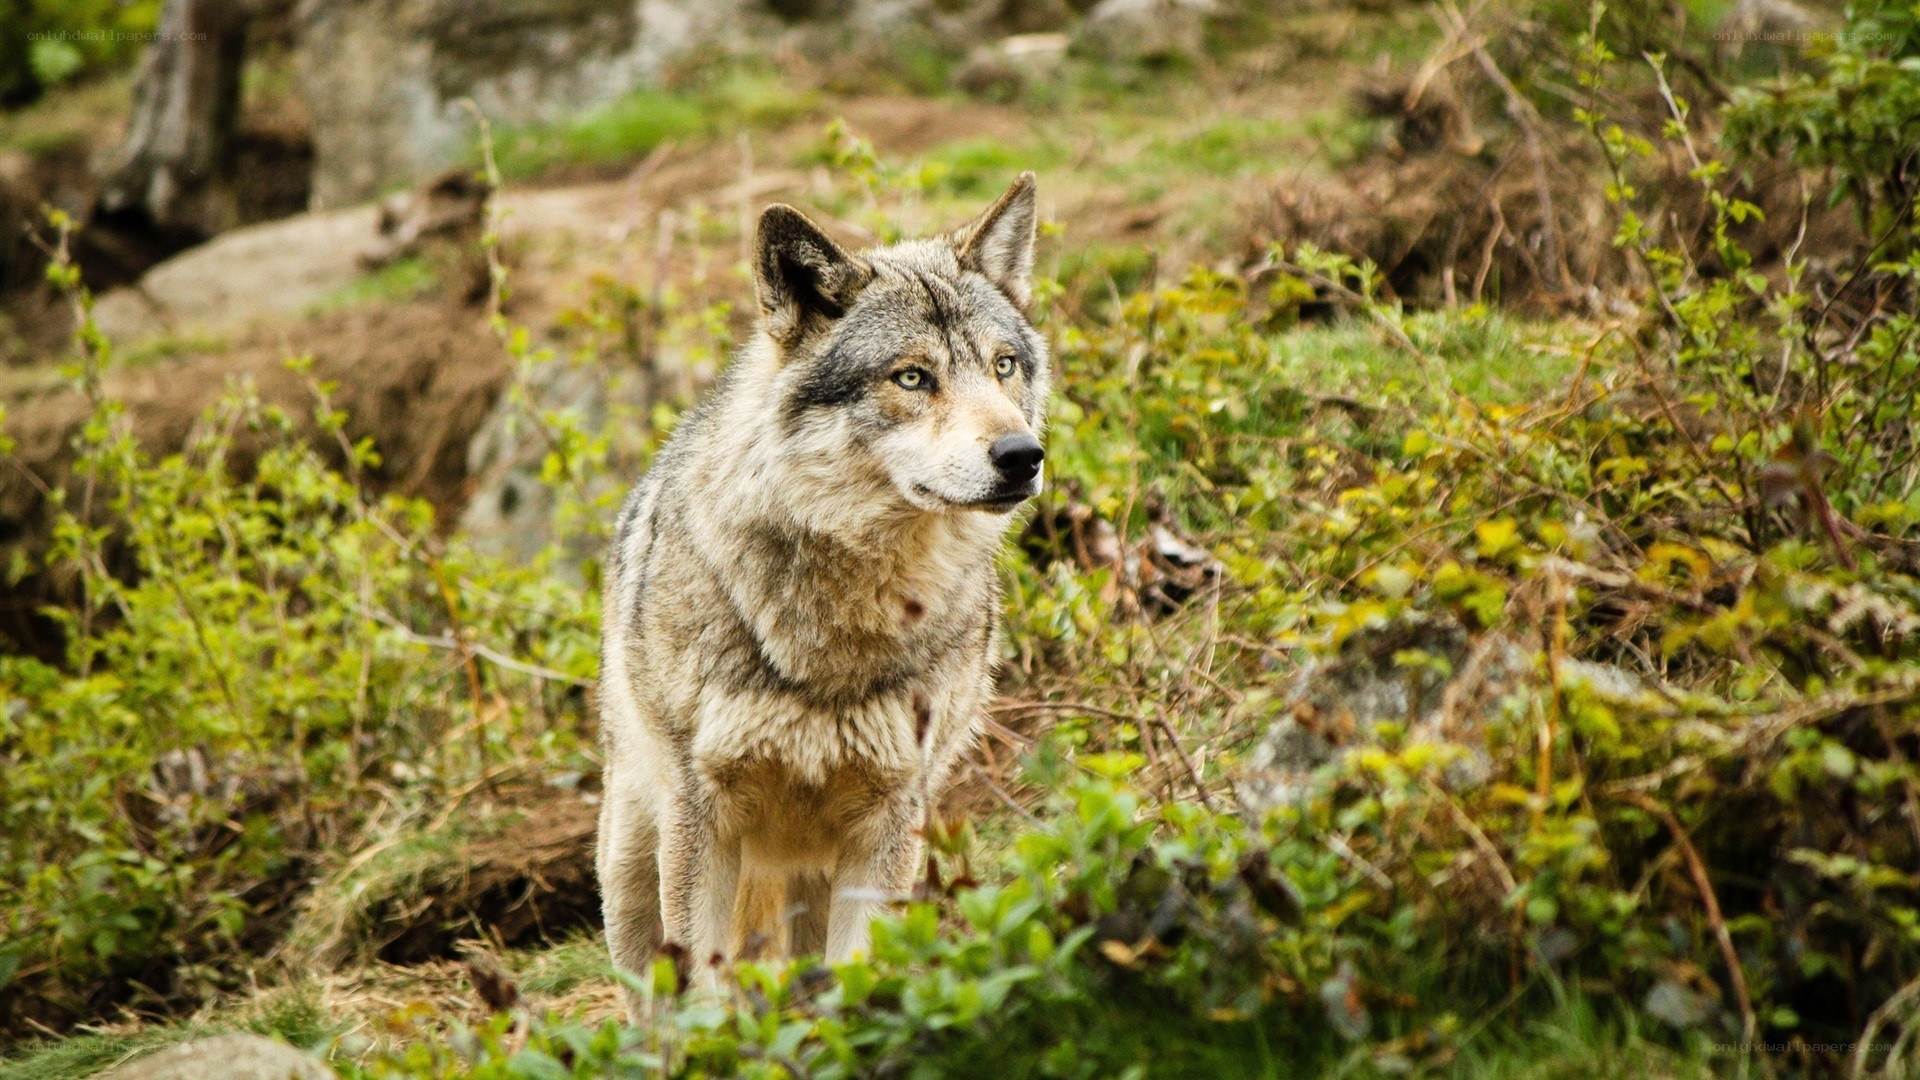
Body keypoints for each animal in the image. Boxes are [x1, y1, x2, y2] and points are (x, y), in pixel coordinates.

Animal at [595, 174, 1048, 1011]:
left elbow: (858, 976)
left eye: (1003, 365)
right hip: (635, 865)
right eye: (912, 377)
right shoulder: (704, 817)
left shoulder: (888, 821)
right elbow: (706, 995)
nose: (1021, 455)